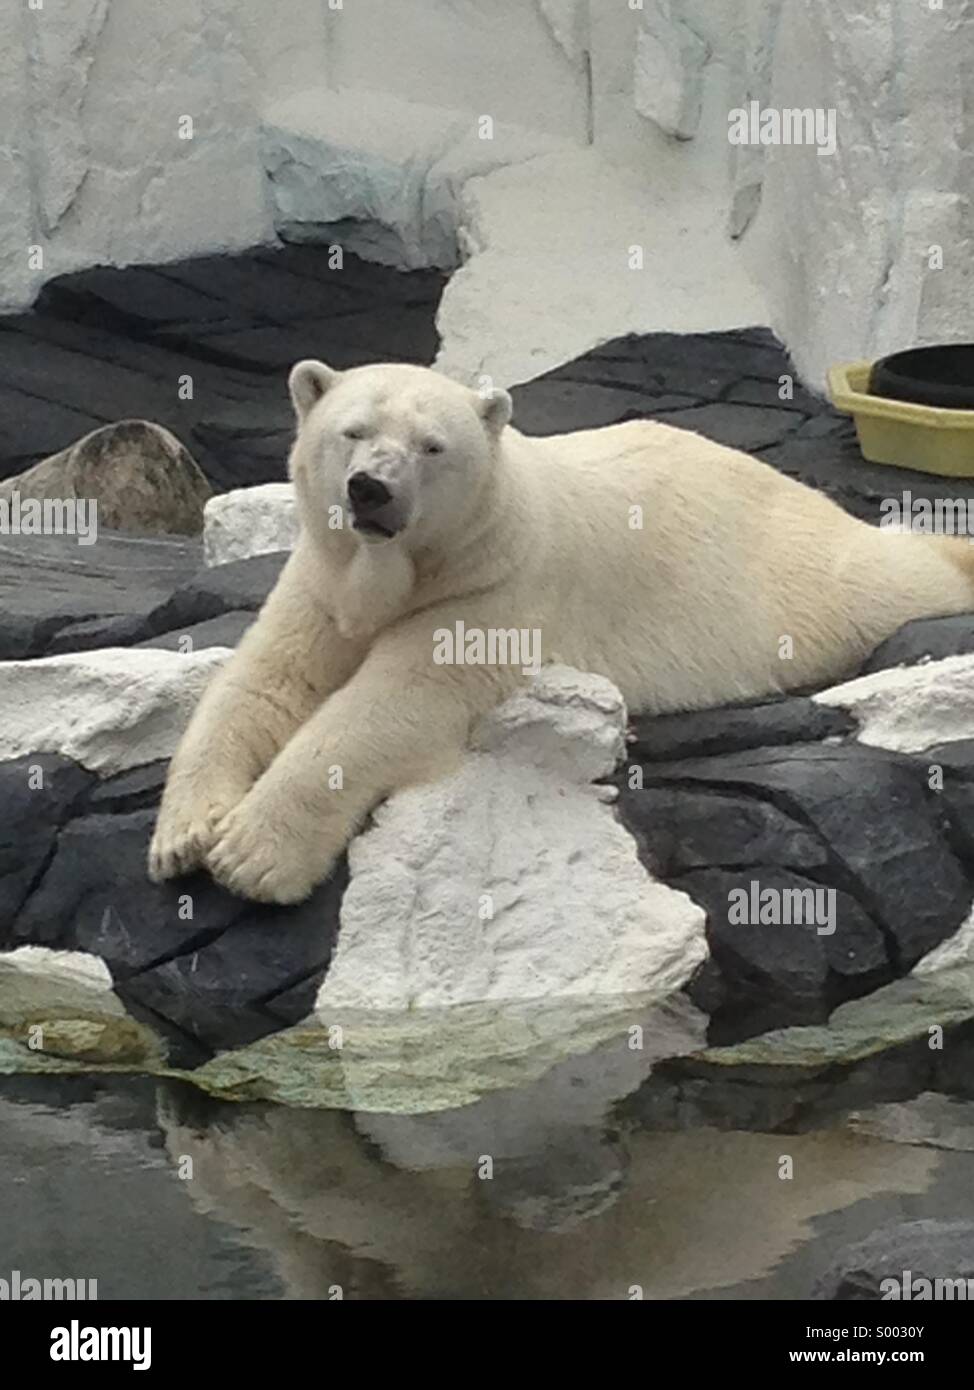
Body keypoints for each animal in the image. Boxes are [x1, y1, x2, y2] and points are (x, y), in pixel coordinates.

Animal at [149, 358, 974, 905]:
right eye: (351, 432)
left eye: (431, 446)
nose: (370, 489)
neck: (404, 569)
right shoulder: (323, 581)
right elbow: (262, 685)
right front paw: (185, 835)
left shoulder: (494, 586)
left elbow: (392, 703)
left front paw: (251, 855)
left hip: (794, 577)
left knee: (886, 575)